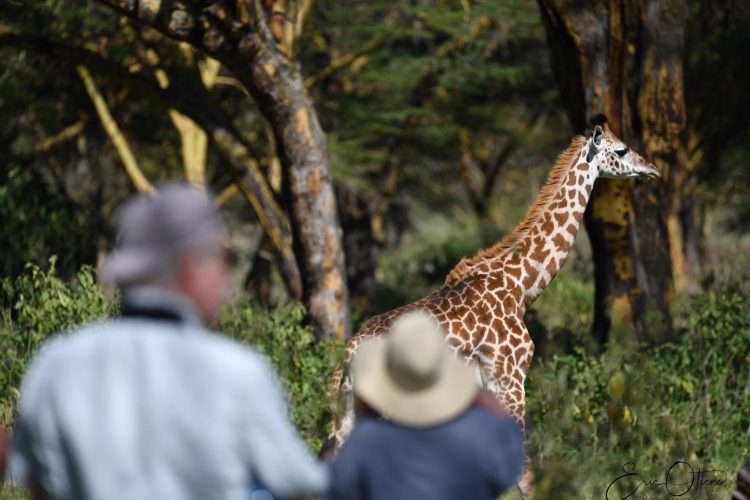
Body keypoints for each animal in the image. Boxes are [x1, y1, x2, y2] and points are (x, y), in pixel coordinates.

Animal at [329, 115, 661, 494]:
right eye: (621, 149)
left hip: (348, 413)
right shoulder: (509, 378)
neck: (521, 285)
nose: (652, 169)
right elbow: (523, 472)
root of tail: (349, 353)